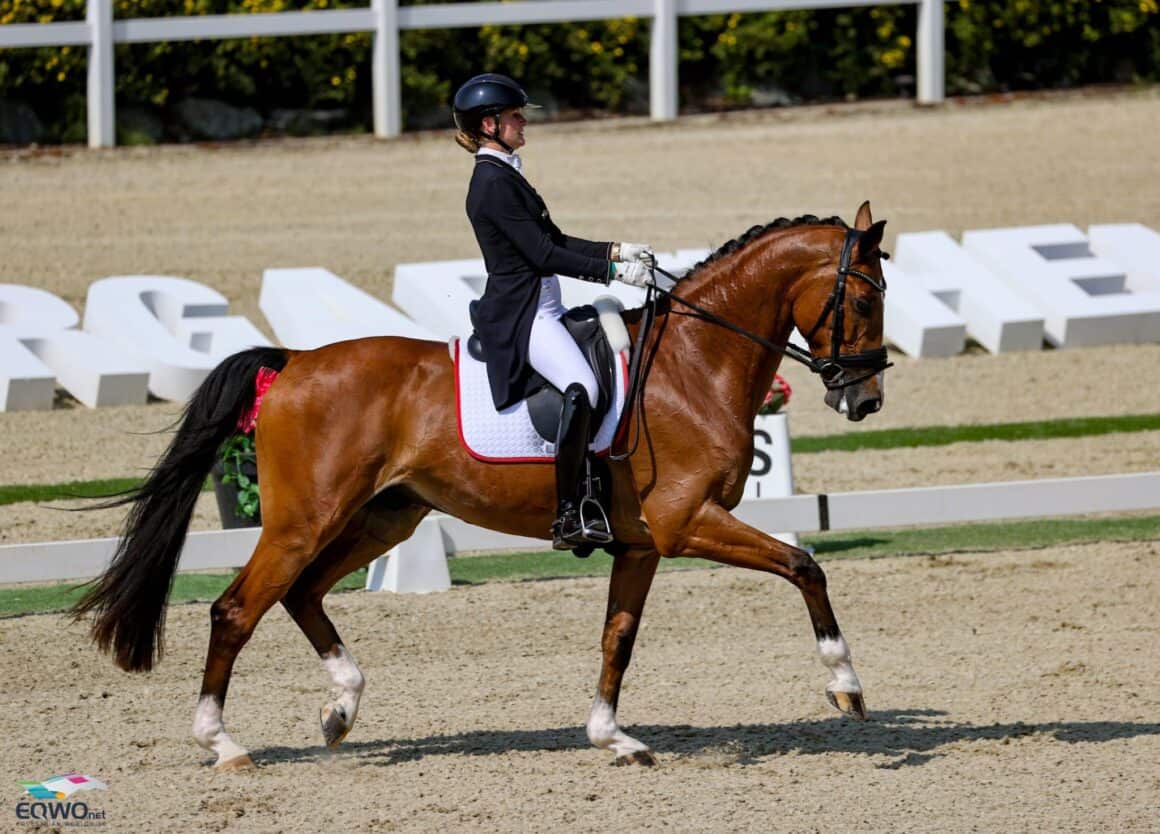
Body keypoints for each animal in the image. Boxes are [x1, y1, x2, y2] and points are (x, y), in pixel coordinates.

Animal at [72, 200, 886, 770]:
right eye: (864, 299)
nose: (866, 401)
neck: (692, 364)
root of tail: (295, 361)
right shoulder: (688, 522)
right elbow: (804, 565)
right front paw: (846, 685)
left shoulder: (643, 542)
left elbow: (618, 636)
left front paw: (611, 737)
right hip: (305, 520)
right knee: (237, 610)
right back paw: (223, 743)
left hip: (383, 518)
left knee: (301, 594)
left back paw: (342, 710)